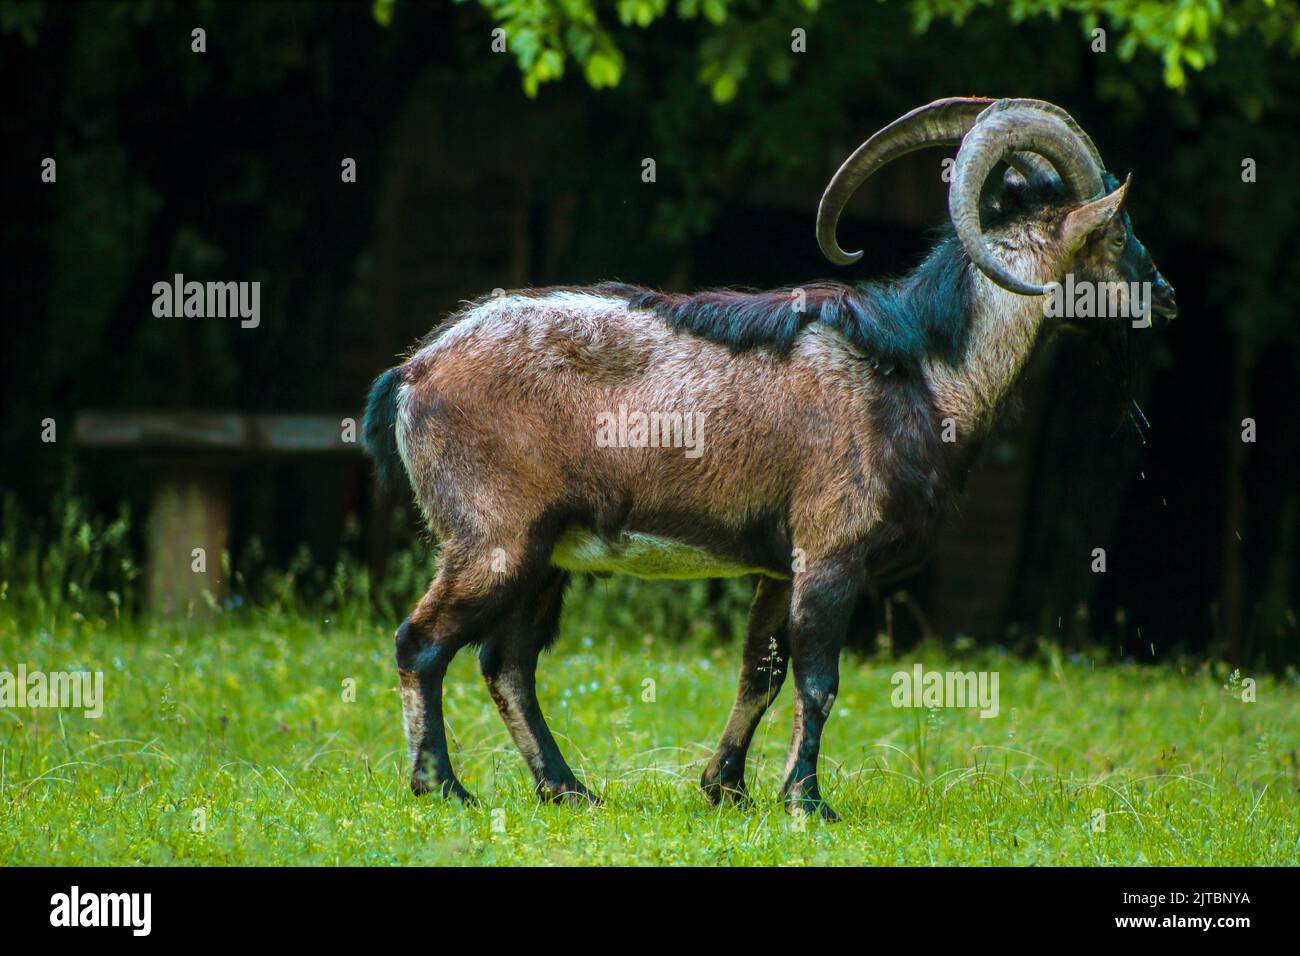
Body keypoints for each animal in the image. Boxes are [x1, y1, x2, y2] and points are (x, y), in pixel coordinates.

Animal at [363, 97, 1177, 820]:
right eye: (1118, 231)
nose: (1166, 296)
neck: (924, 371)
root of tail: (413, 374)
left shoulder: (777, 567)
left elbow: (761, 672)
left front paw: (726, 789)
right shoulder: (831, 549)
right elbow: (818, 679)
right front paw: (807, 802)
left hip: (548, 555)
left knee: (507, 663)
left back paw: (567, 790)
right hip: (495, 539)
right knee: (422, 642)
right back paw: (444, 787)